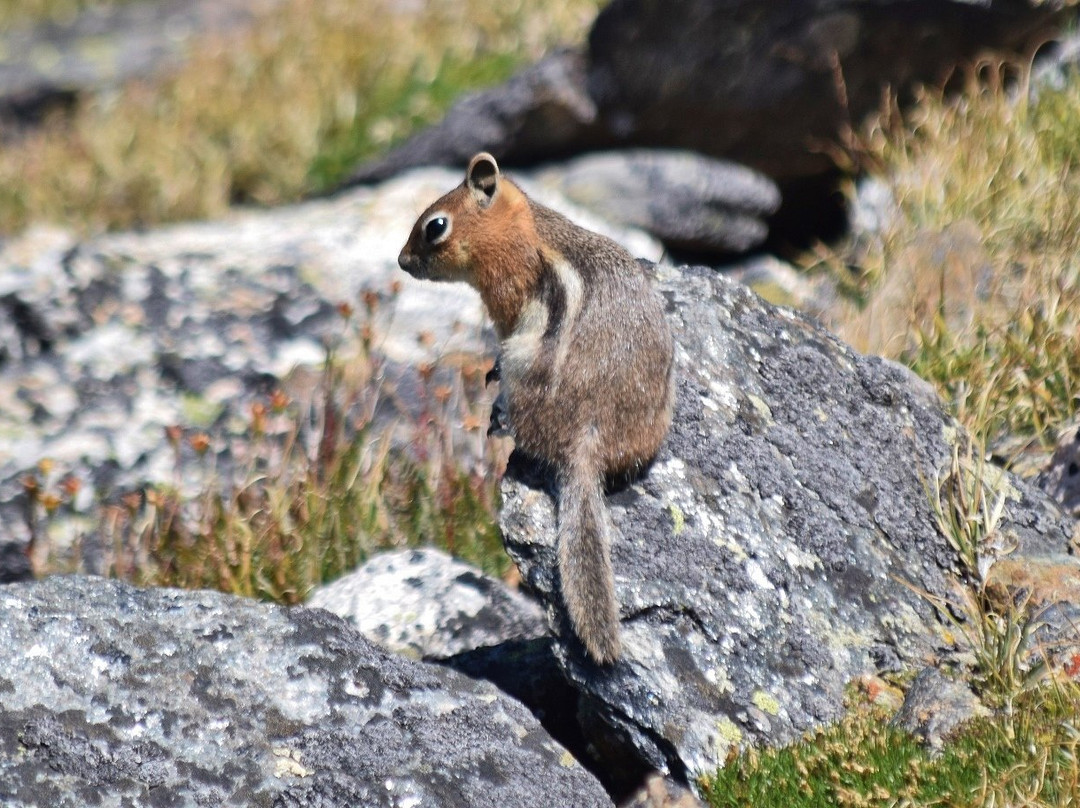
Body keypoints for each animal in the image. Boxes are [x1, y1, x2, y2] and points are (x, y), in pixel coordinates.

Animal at [397, 151, 669, 661]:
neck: (521, 224)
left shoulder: (507, 296)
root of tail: (586, 443)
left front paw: (490, 373)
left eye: (435, 226)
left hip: (525, 364)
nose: (401, 262)